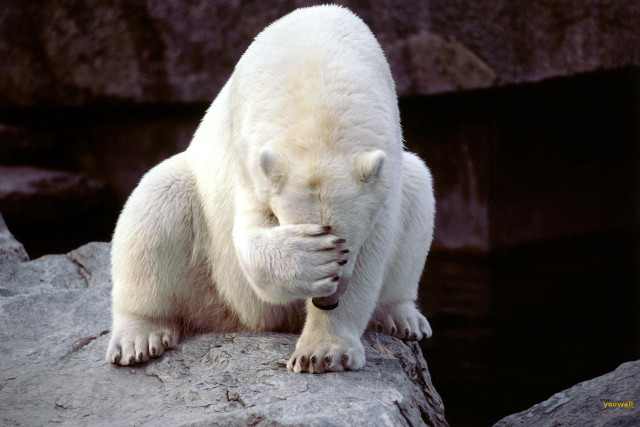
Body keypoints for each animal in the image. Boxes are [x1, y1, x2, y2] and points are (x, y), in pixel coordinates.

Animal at [106, 5, 435, 374]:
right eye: (327, 241)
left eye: (347, 246)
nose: (327, 301)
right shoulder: (249, 154)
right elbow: (248, 235)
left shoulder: (385, 166)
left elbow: (375, 249)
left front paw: (322, 352)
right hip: (206, 274)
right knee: (157, 202)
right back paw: (138, 337)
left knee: (418, 189)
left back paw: (402, 317)